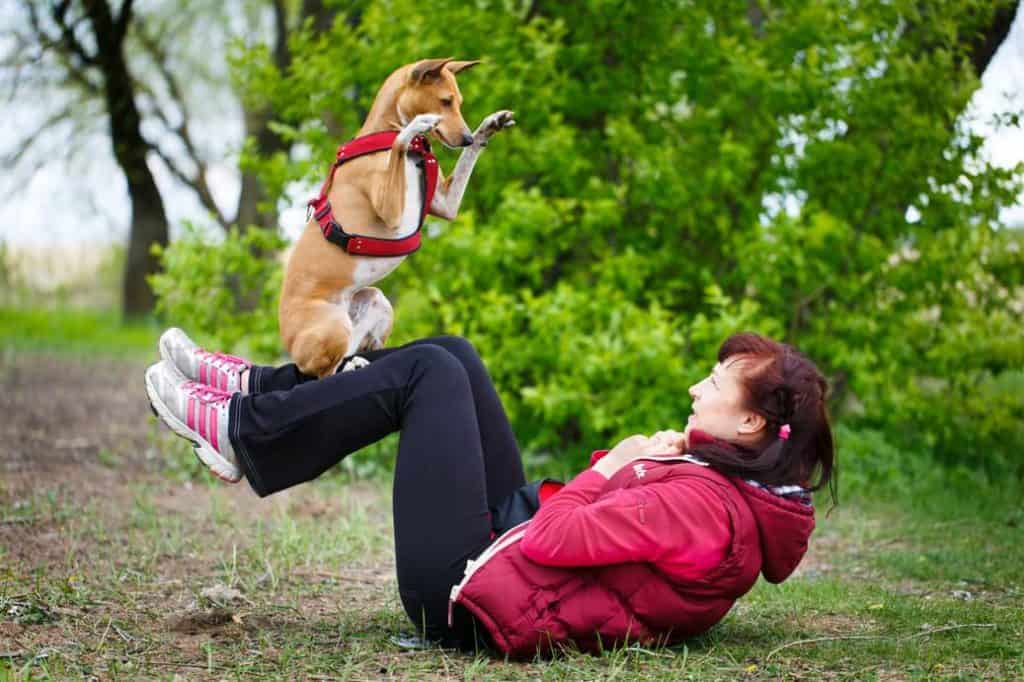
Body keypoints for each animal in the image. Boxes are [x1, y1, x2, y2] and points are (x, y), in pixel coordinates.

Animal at [278, 57, 512, 376]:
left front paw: (488, 126)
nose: (464, 138)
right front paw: (414, 127)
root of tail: (290, 346)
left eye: (459, 102)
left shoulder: (445, 204)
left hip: (378, 304)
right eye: (445, 101)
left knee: (350, 353)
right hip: (333, 326)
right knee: (319, 375)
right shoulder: (391, 212)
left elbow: (468, 158)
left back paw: (355, 362)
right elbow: (399, 144)